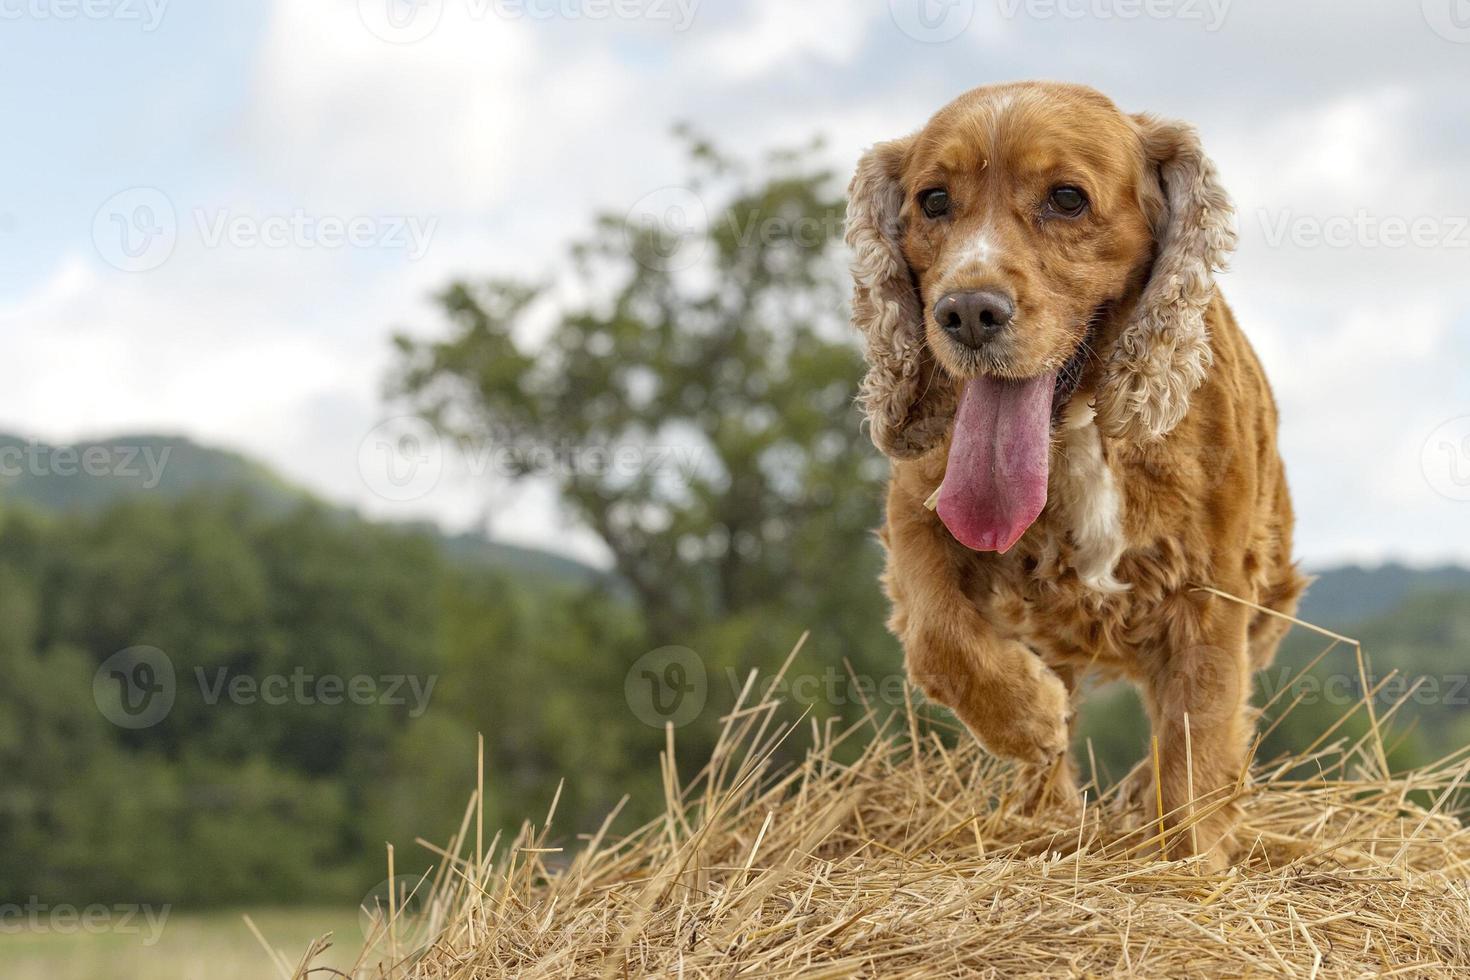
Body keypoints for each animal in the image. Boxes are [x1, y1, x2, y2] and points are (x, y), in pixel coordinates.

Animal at [852, 80, 1311, 869]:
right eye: (933, 201)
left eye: (1067, 198)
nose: (966, 311)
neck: (1077, 430)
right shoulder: (918, 512)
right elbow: (941, 638)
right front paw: (1029, 716)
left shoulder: (1211, 591)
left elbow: (1198, 744)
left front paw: (1192, 865)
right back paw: (1046, 805)